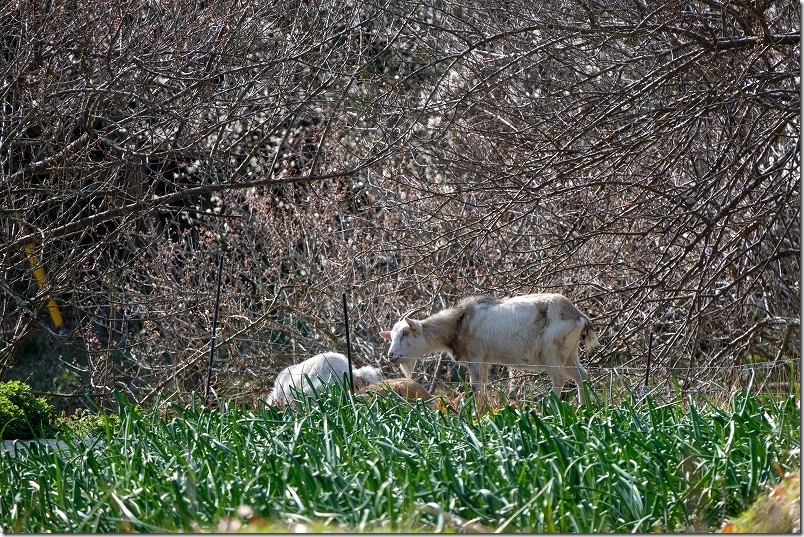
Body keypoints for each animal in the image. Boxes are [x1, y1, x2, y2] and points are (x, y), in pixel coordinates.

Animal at [380, 294, 600, 402]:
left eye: (405, 333)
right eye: (393, 335)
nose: (391, 356)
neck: (460, 321)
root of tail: (577, 314)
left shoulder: (475, 357)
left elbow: (476, 387)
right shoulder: (484, 361)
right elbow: (483, 386)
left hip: (553, 352)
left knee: (559, 379)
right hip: (570, 353)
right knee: (581, 376)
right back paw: (584, 407)